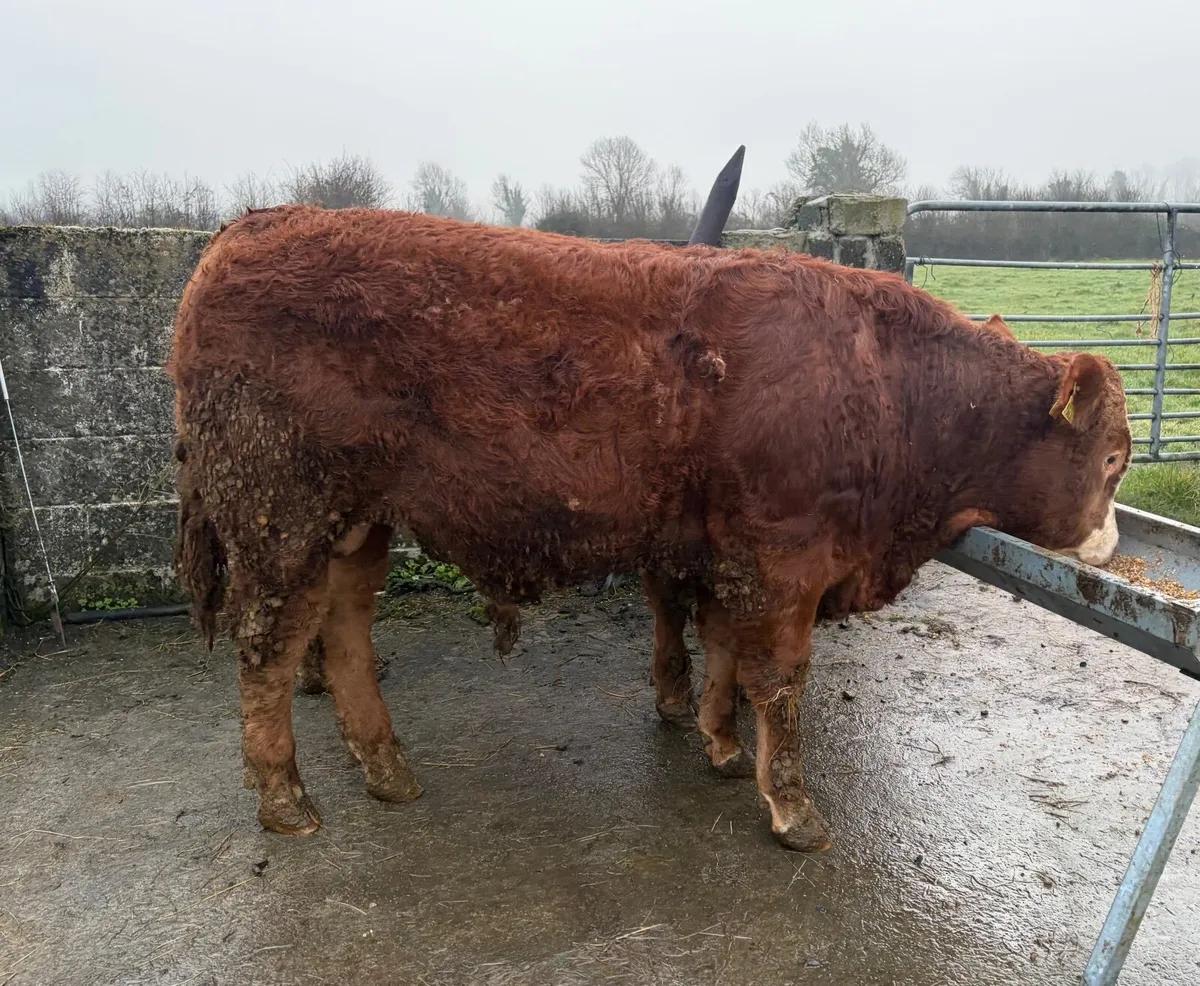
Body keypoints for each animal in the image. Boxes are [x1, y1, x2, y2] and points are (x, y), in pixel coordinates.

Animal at [170, 205, 1131, 851]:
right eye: (1116, 458)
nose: (1113, 542)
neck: (887, 385)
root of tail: (246, 230)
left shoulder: (724, 552)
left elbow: (723, 648)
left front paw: (717, 742)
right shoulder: (784, 558)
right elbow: (778, 677)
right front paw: (792, 807)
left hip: (354, 525)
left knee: (342, 631)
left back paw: (385, 770)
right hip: (280, 519)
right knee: (268, 648)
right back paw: (286, 800)